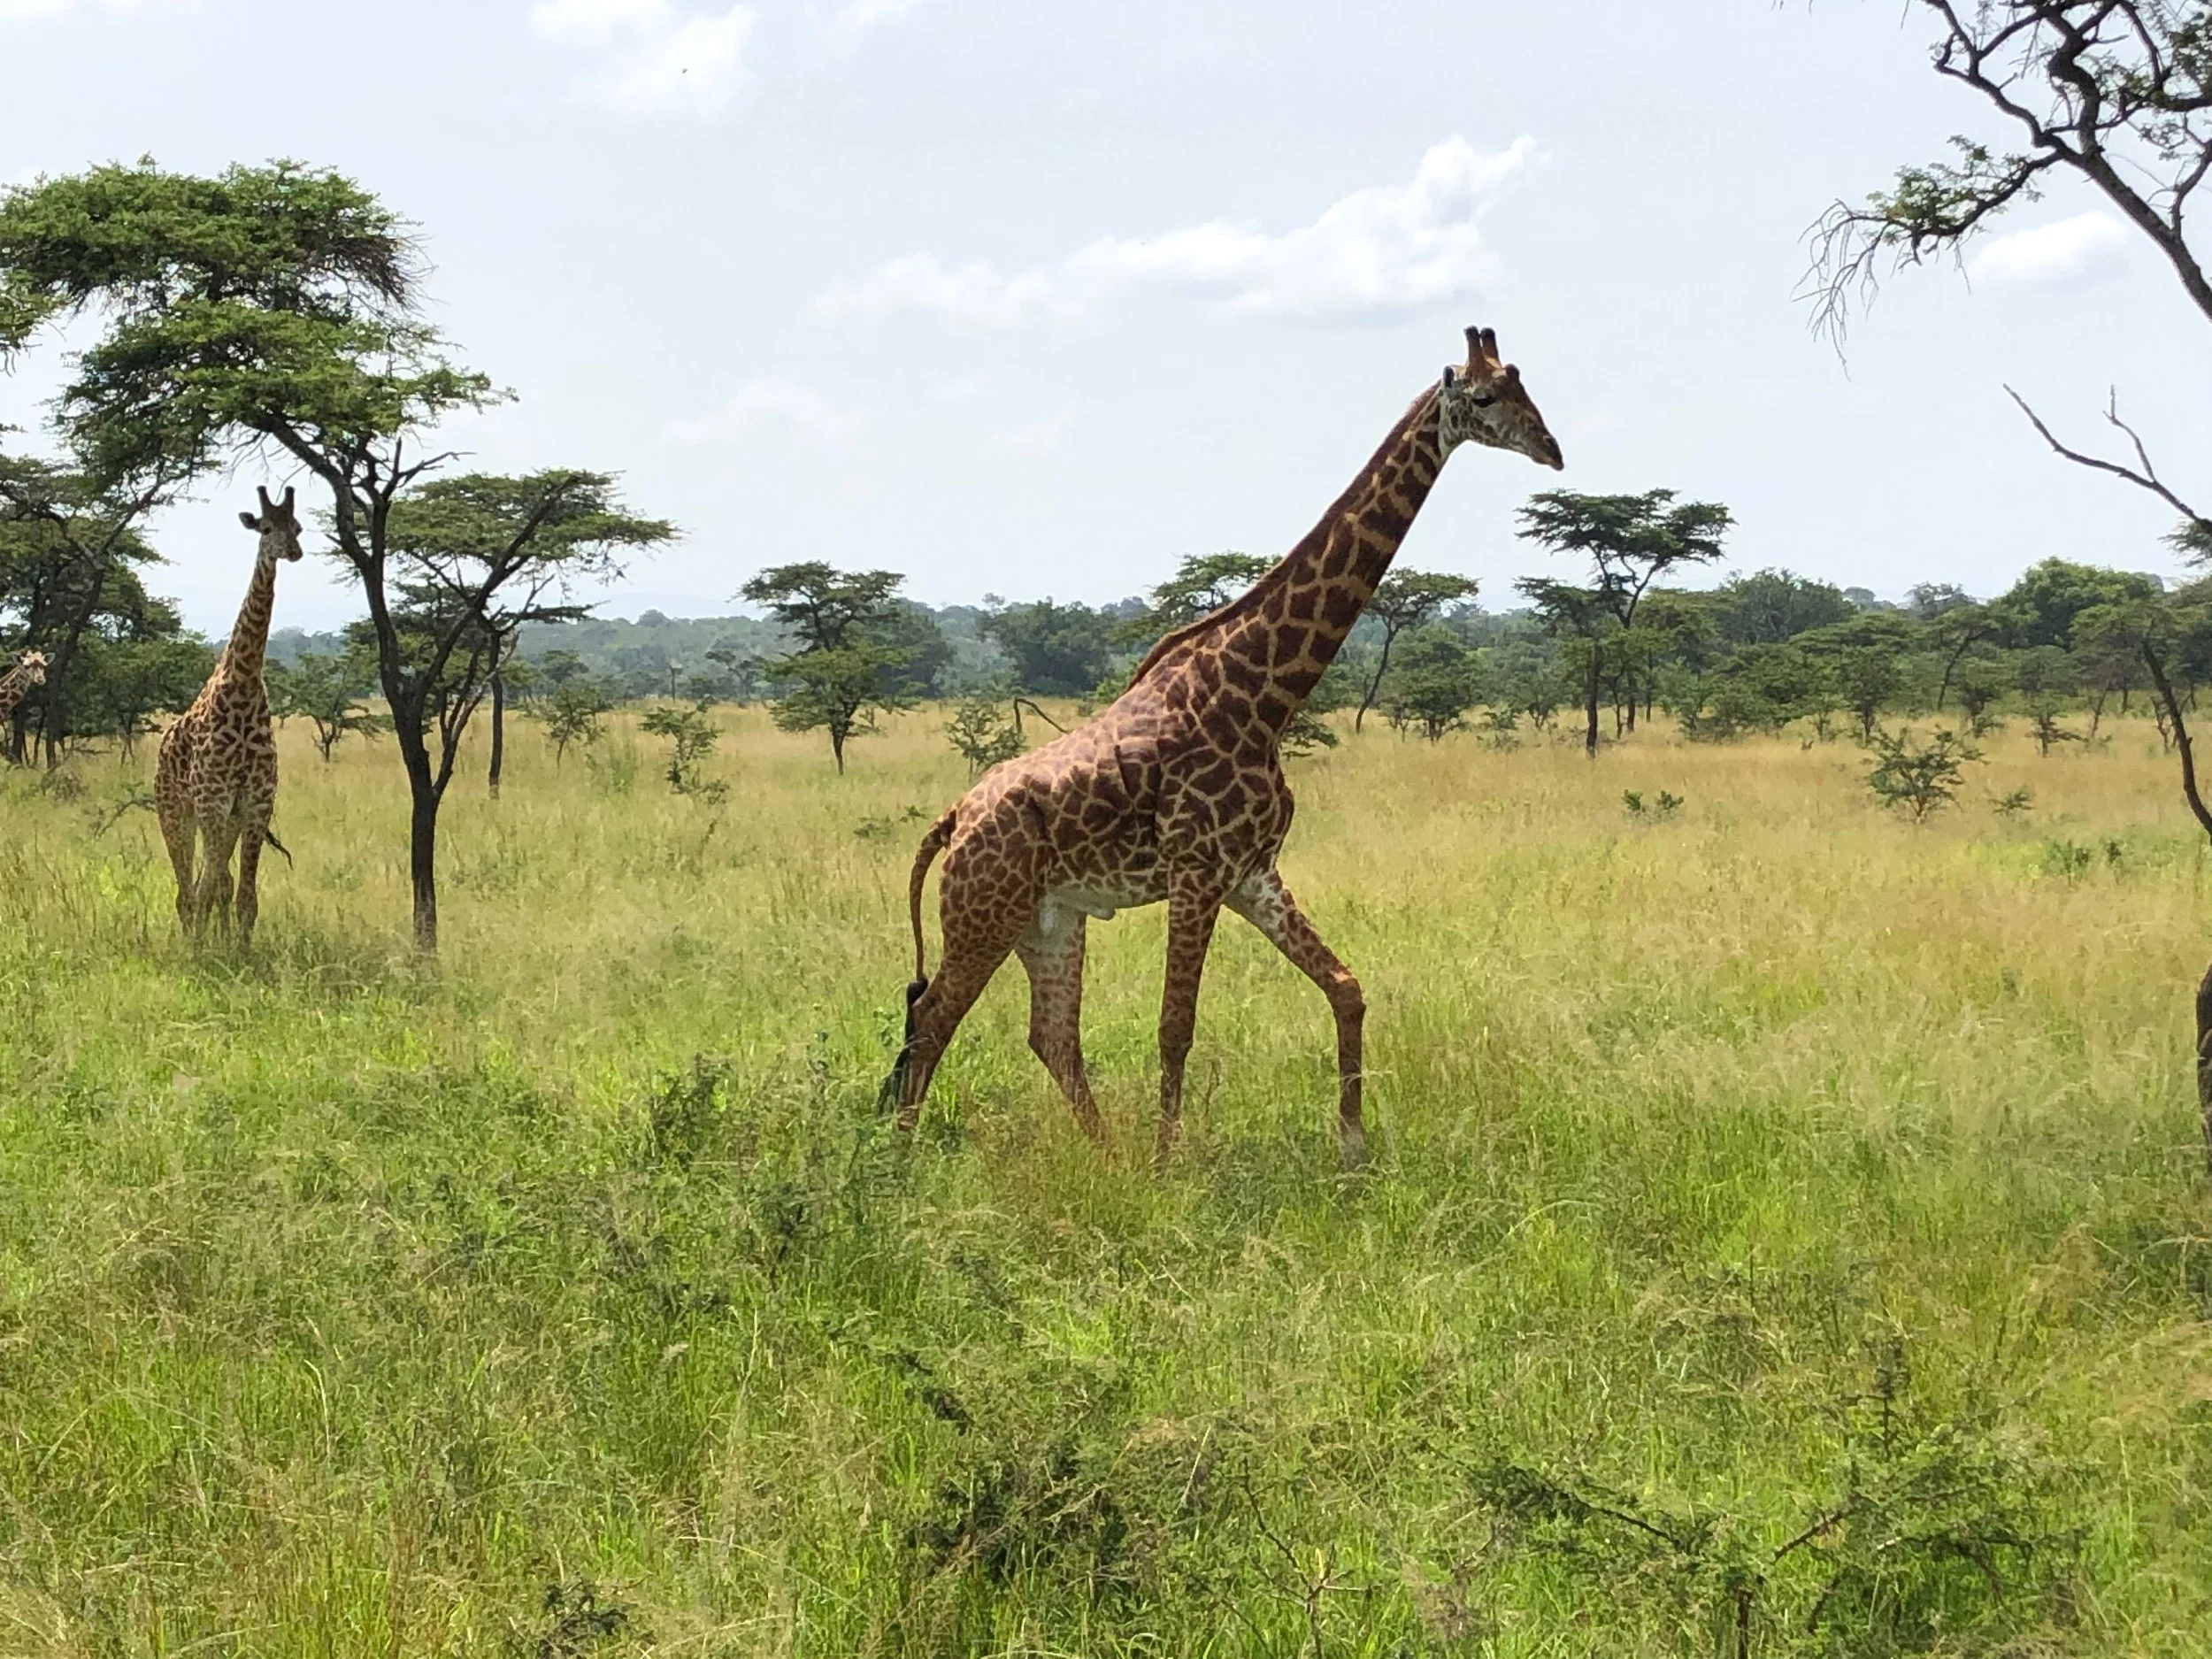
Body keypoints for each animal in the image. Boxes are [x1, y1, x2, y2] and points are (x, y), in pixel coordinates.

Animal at [156, 486, 304, 948]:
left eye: (297, 527)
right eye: (266, 527)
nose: (293, 552)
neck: (243, 684)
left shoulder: (255, 803)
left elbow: (244, 895)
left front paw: (240, 951)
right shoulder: (212, 799)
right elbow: (208, 888)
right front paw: (202, 953)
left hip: (223, 817)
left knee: (213, 880)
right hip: (175, 810)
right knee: (187, 888)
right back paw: (192, 941)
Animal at [887, 325, 1564, 1165]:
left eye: (1526, 384)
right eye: (1484, 397)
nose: (1552, 450)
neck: (1263, 697)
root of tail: (951, 819)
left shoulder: (1252, 871)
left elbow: (1347, 987)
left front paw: (1352, 1148)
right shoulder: (1197, 871)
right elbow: (1175, 1028)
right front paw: (1167, 1164)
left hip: (1048, 916)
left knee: (1048, 1035)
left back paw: (1105, 1156)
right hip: (984, 910)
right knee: (934, 1017)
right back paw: (903, 1159)